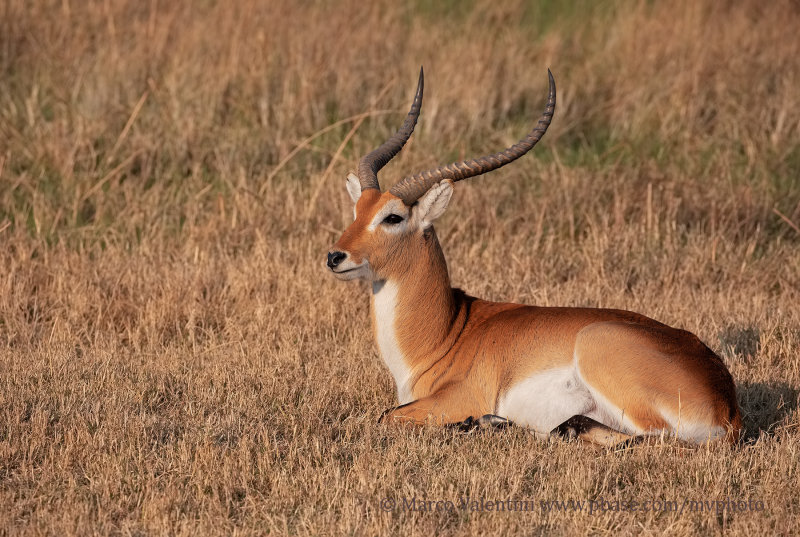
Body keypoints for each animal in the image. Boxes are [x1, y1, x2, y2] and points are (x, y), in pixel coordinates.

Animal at [324, 67, 744, 444]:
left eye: (392, 217)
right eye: (357, 210)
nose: (335, 257)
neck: (446, 334)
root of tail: (726, 406)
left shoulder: (455, 398)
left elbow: (384, 416)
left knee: (649, 437)